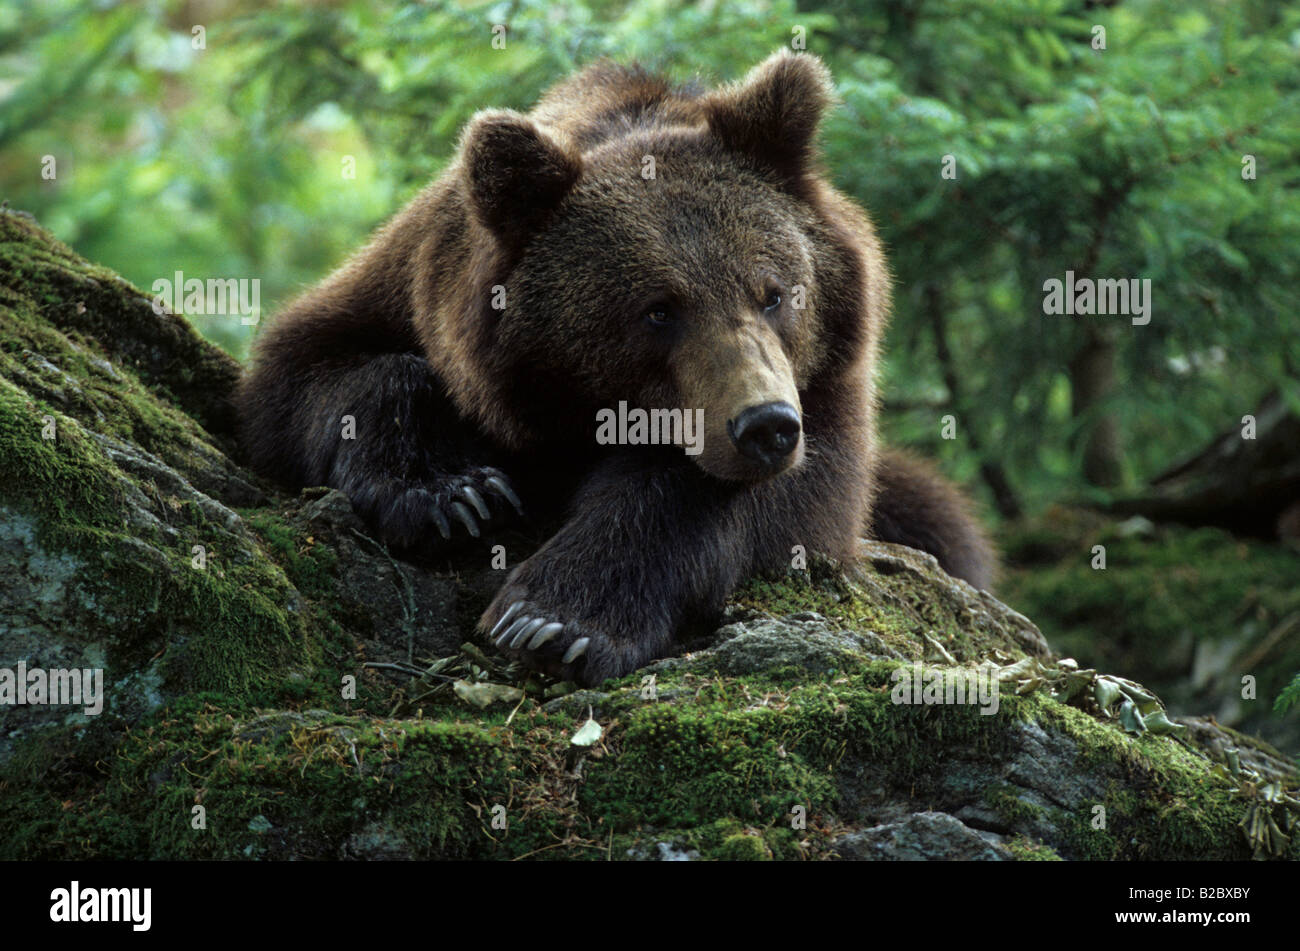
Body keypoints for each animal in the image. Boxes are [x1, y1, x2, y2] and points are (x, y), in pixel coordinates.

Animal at [236, 50, 993, 685]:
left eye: (774, 292)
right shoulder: (405, 289)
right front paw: (453, 493)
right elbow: (312, 369)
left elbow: (762, 496)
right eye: (658, 310)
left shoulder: (830, 390)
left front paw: (557, 619)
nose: (766, 426)